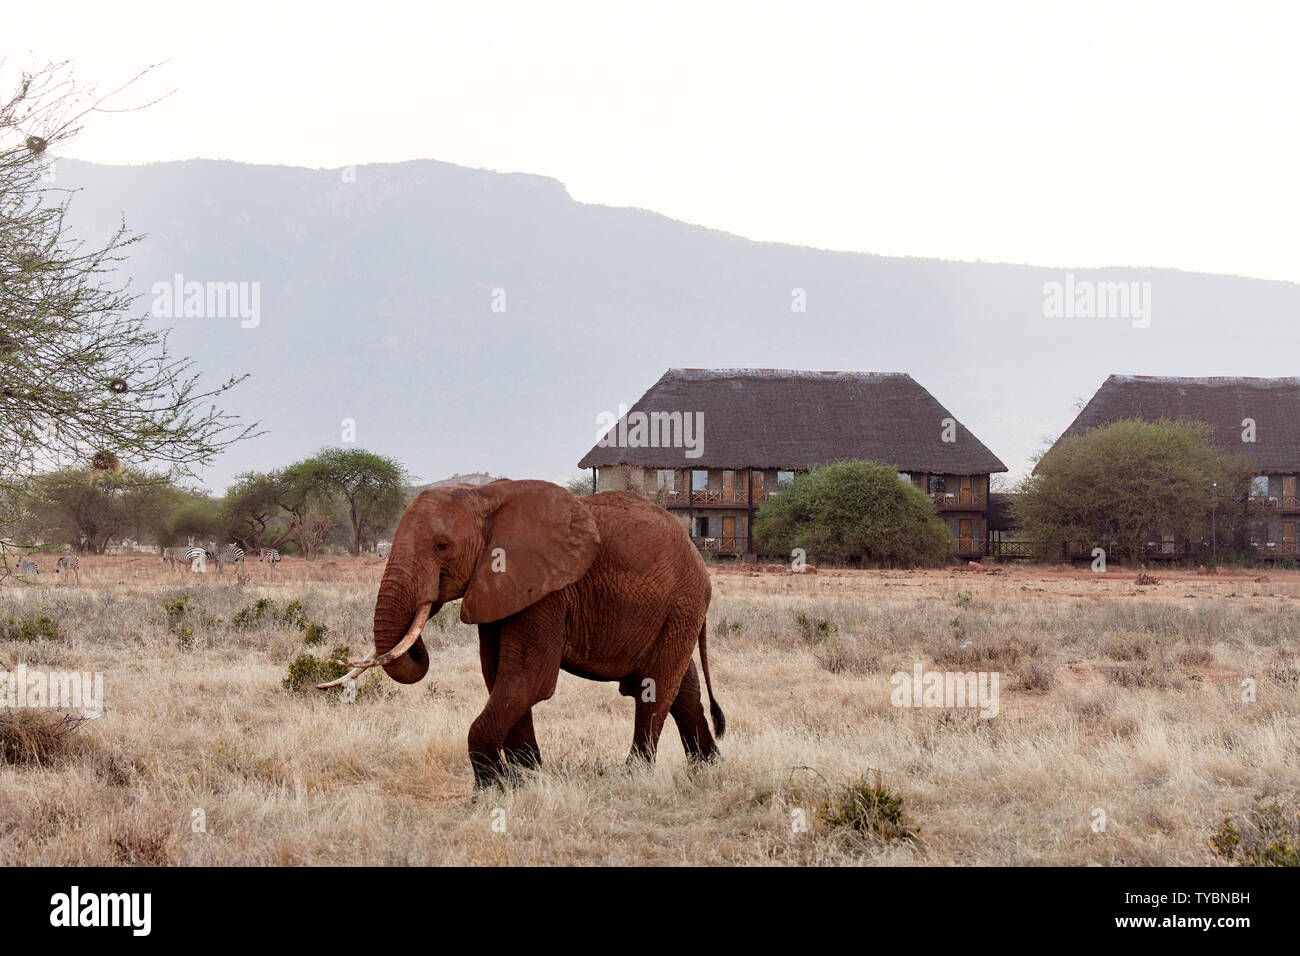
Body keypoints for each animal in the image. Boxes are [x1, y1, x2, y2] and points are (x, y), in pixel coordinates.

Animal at [315, 478, 722, 790]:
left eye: (441, 546)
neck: (483, 498)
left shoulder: (546, 591)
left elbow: (529, 678)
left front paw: (492, 790)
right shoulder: (498, 589)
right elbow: (500, 676)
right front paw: (527, 779)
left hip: (681, 604)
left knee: (654, 687)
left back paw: (633, 776)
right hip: (675, 613)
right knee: (682, 690)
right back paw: (709, 768)